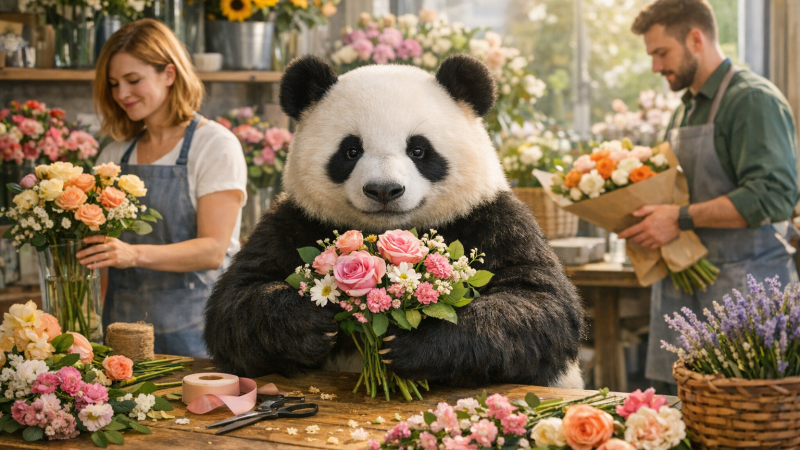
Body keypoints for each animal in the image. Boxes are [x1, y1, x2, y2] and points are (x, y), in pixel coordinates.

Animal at [203, 54, 585, 389]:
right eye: (351, 151)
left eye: (418, 150)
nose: (384, 189)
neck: (386, 229)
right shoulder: (296, 221)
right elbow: (237, 301)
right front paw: (311, 321)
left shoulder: (490, 218)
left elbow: (538, 303)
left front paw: (412, 344)